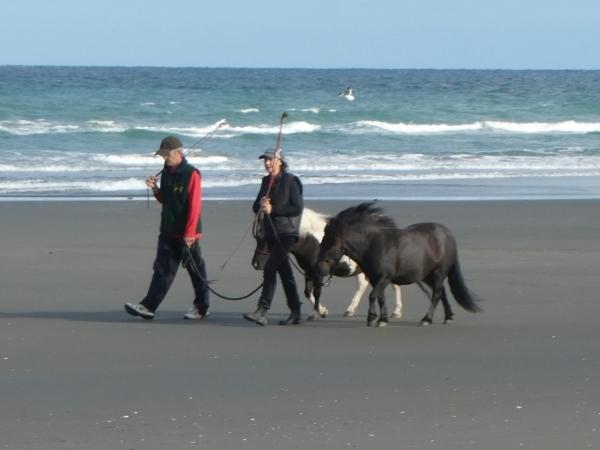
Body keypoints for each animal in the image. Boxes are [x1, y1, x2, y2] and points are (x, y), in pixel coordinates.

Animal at [251, 208, 400, 318]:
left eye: (267, 238)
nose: (256, 264)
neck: (311, 241)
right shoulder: (309, 272)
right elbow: (307, 292)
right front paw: (322, 311)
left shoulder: (318, 273)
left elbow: (317, 292)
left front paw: (317, 313)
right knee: (363, 285)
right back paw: (350, 310)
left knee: (394, 285)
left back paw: (397, 312)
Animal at [316, 203, 480, 326]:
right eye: (322, 241)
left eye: (331, 244)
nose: (320, 269)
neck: (374, 244)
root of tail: (447, 233)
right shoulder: (376, 279)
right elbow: (380, 297)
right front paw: (382, 319)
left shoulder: (384, 278)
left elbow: (372, 296)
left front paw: (372, 318)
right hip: (427, 275)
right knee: (442, 292)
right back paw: (448, 317)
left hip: (439, 272)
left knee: (437, 294)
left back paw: (426, 320)